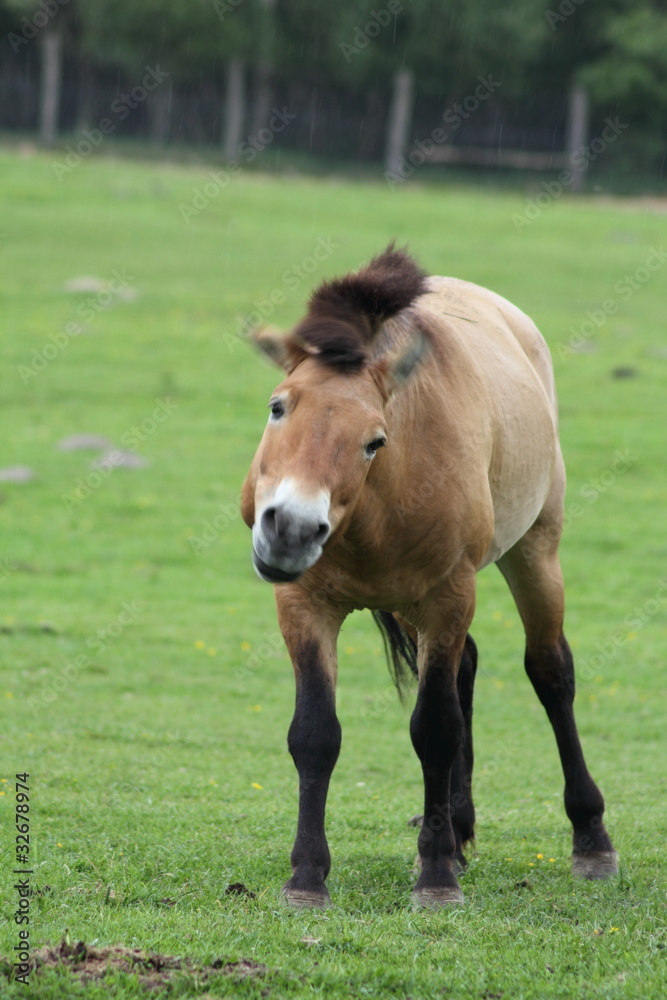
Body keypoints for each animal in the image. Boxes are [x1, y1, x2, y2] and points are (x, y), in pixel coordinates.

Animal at [239, 246, 616, 912]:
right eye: (278, 406)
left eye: (374, 440)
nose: (291, 529)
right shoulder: (305, 604)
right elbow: (315, 734)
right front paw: (307, 878)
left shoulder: (448, 595)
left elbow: (436, 729)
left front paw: (435, 878)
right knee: (465, 668)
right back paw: (458, 828)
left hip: (534, 551)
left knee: (551, 673)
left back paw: (589, 836)